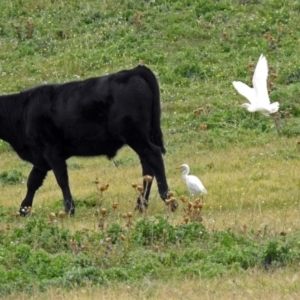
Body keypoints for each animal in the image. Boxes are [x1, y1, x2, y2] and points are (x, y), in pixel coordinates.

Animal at [0, 65, 172, 214]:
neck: (24, 111)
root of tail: (134, 71)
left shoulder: (51, 152)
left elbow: (61, 179)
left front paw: (69, 209)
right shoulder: (41, 158)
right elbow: (33, 182)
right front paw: (24, 209)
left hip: (135, 134)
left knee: (154, 156)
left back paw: (169, 200)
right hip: (141, 136)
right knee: (147, 168)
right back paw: (141, 205)